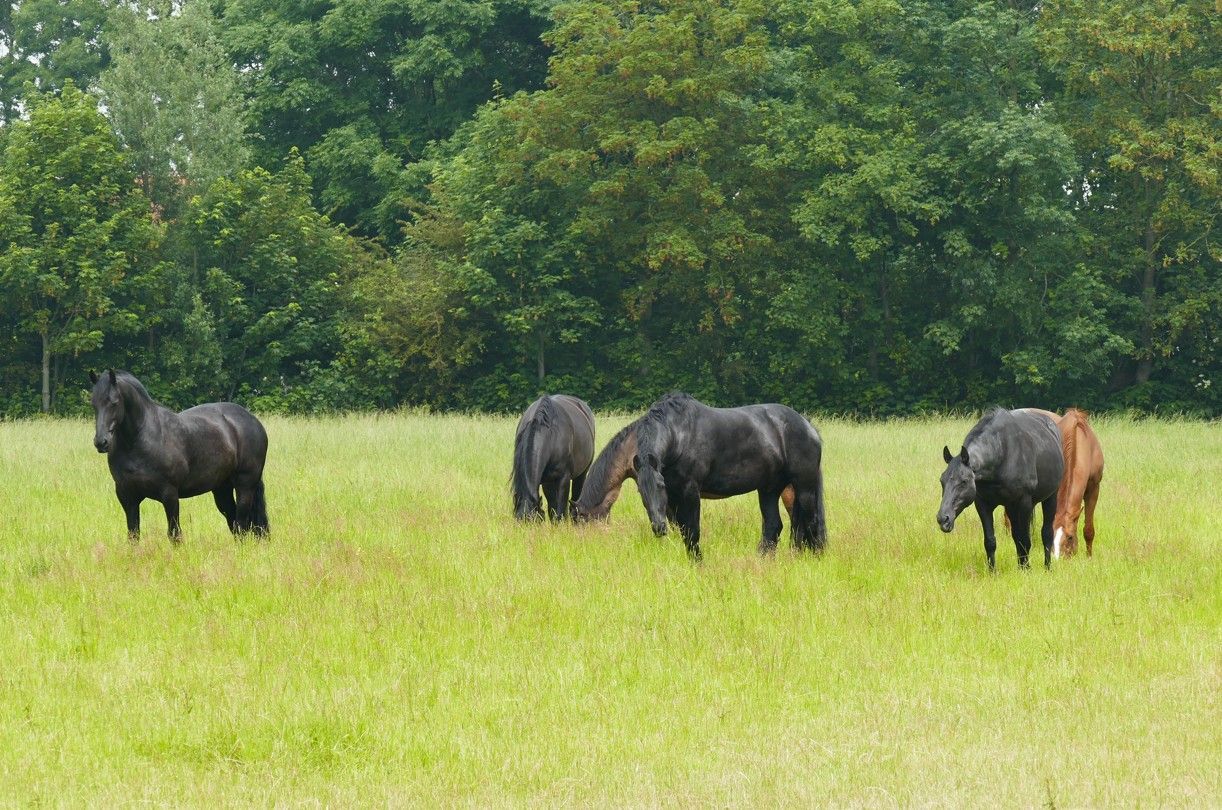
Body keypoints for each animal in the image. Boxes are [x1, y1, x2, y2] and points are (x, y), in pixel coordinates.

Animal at [89, 369, 269, 542]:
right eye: (94, 404)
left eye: (114, 402)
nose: (101, 442)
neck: (139, 440)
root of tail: (252, 420)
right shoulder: (127, 496)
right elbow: (133, 535)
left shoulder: (169, 494)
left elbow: (174, 534)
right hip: (222, 488)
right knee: (234, 522)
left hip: (245, 485)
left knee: (242, 523)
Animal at [619, 393, 825, 559]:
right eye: (641, 491)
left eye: (660, 486)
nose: (659, 528)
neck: (679, 433)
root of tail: (807, 425)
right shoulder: (674, 495)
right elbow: (684, 532)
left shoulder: (690, 491)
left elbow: (692, 531)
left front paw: (698, 564)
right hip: (769, 490)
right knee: (775, 526)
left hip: (804, 487)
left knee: (810, 522)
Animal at [937, 408, 1063, 570]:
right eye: (942, 480)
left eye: (964, 481)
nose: (943, 519)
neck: (1002, 452)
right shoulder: (983, 505)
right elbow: (991, 541)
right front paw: (993, 571)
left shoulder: (1024, 503)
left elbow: (1025, 541)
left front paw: (1027, 570)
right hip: (1011, 507)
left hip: (1050, 497)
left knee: (1046, 533)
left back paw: (1047, 567)